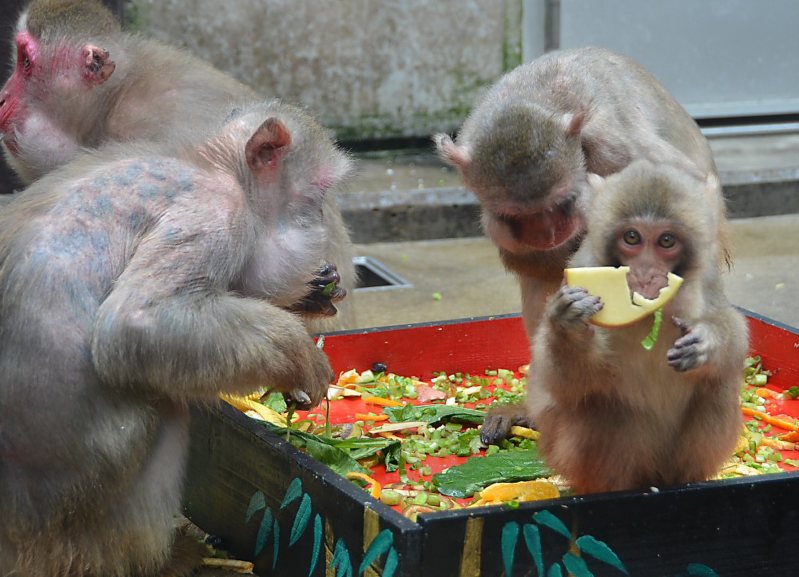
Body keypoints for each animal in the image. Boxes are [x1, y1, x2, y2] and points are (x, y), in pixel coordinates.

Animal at [0, 98, 350, 577]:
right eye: (316, 197)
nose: (319, 222)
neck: (211, 164)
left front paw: (314, 292)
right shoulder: (215, 215)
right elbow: (135, 322)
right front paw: (298, 352)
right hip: (75, 506)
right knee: (166, 408)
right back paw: (159, 561)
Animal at [433, 47, 728, 443]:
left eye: (562, 203)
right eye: (518, 216)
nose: (547, 234)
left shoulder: (615, 143)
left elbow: (687, 192)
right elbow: (530, 264)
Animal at [524, 160, 748, 494]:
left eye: (666, 241)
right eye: (632, 238)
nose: (644, 274)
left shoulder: (707, 275)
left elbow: (732, 337)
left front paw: (707, 341)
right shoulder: (582, 268)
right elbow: (557, 385)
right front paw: (568, 325)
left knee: (718, 388)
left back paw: (685, 480)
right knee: (602, 408)